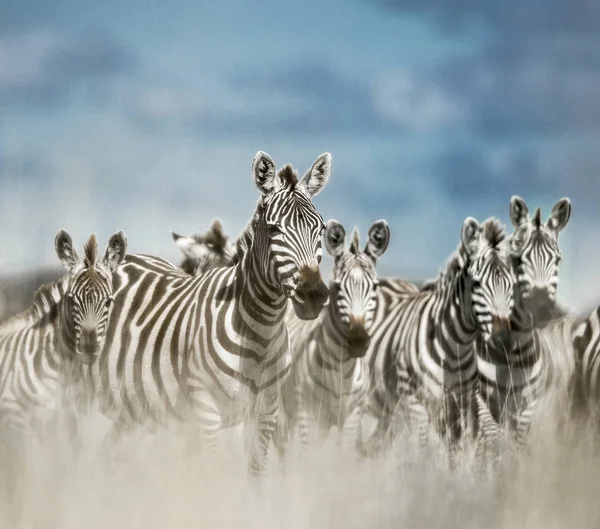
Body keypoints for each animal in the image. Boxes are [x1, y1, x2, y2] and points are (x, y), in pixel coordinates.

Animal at [91, 151, 330, 476]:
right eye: (274, 229)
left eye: (321, 229)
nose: (313, 294)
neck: (261, 334)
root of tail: (126, 259)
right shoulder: (207, 413)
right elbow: (211, 473)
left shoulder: (266, 412)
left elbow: (255, 474)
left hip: (132, 407)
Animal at [274, 219, 392, 466]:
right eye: (337, 287)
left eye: (375, 287)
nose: (358, 340)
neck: (341, 370)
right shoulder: (306, 412)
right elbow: (305, 457)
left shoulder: (351, 415)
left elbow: (343, 455)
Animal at [358, 217, 516, 460]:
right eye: (477, 283)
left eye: (512, 284)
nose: (503, 338)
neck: (455, 347)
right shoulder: (416, 403)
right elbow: (423, 448)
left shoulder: (459, 406)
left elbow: (465, 449)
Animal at [476, 195, 568, 450]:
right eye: (517, 260)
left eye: (557, 260)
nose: (541, 308)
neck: (512, 352)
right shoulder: (481, 400)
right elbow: (493, 439)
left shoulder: (530, 405)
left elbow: (519, 443)